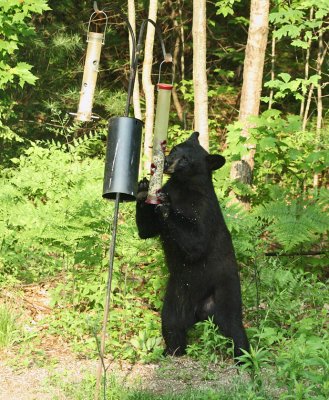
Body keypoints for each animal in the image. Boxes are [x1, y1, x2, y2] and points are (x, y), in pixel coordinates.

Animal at [135, 133, 247, 360]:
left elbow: (196, 242)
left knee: (234, 327)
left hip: (226, 292)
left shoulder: (203, 208)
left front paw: (166, 203)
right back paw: (171, 351)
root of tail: (202, 310)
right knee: (172, 325)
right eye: (174, 149)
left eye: (186, 160)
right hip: (176, 298)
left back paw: (245, 359)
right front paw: (142, 189)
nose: (167, 161)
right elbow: (147, 231)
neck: (183, 186)